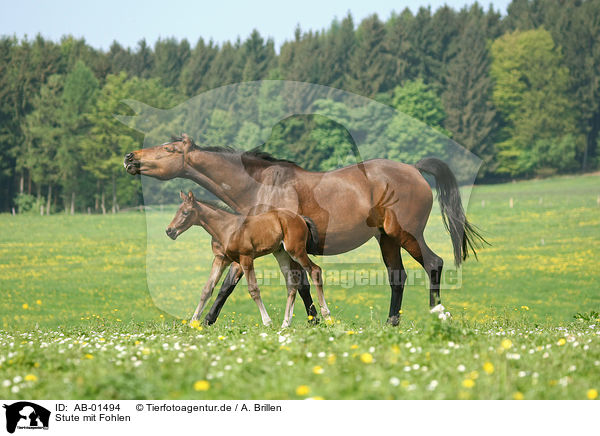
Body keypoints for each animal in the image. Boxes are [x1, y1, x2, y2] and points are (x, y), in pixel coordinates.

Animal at [166, 191, 330, 328]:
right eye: (177, 211)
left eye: (186, 212)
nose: (169, 231)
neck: (228, 228)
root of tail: (301, 218)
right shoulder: (221, 259)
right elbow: (207, 289)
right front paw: (193, 322)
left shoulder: (246, 258)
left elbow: (253, 289)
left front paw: (267, 322)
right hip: (282, 254)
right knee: (291, 285)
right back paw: (285, 324)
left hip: (296, 251)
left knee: (315, 270)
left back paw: (326, 316)